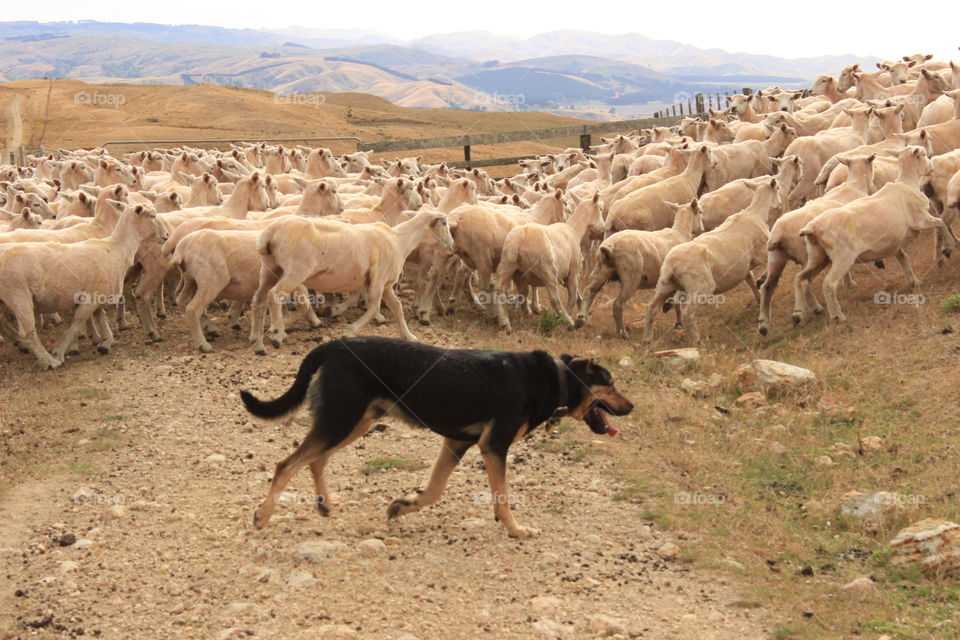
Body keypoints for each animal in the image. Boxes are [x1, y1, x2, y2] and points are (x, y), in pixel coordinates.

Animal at [0, 204, 165, 369]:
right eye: (152, 215)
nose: (166, 235)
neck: (116, 249)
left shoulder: (98, 295)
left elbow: (100, 317)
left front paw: (105, 342)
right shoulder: (90, 299)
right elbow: (77, 323)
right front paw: (59, 351)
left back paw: (22, 345)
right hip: (18, 295)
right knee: (27, 333)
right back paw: (49, 361)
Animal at [576, 198, 704, 337]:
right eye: (700, 211)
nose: (702, 229)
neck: (680, 232)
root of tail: (610, 246)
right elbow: (678, 302)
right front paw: (678, 322)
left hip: (601, 270)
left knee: (589, 291)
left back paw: (581, 319)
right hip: (631, 277)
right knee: (618, 304)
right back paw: (622, 333)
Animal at [642, 177, 780, 344]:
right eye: (778, 188)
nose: (779, 204)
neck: (755, 214)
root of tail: (671, 265)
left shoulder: (744, 266)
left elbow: (751, 281)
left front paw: (759, 299)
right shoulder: (763, 251)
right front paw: (763, 280)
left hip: (665, 285)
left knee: (651, 308)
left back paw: (647, 341)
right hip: (702, 286)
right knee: (687, 314)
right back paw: (697, 341)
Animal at [796, 147, 954, 323]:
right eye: (924, 155)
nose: (931, 167)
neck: (907, 183)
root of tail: (812, 228)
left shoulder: (894, 240)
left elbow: (903, 258)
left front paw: (914, 281)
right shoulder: (921, 219)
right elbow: (941, 222)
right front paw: (949, 246)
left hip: (818, 256)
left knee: (801, 279)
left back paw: (803, 311)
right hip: (843, 256)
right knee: (828, 284)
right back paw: (837, 315)